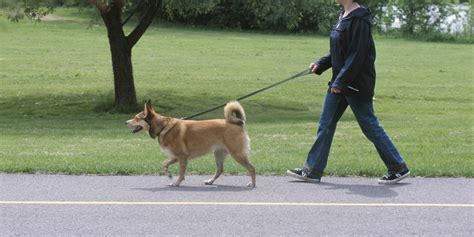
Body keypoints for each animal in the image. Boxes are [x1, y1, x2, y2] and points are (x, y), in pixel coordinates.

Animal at [126, 100, 256, 187]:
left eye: (137, 118)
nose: (125, 122)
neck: (163, 127)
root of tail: (237, 123)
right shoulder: (176, 157)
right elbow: (164, 164)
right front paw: (169, 175)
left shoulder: (182, 157)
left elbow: (181, 173)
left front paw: (177, 183)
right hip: (219, 154)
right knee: (220, 170)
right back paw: (210, 181)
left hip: (237, 154)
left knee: (252, 168)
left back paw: (253, 183)